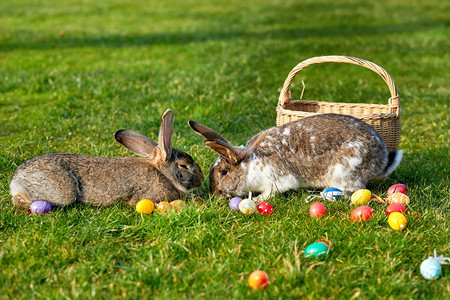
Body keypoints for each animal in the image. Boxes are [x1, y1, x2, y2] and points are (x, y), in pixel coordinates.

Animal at [188, 113, 402, 200]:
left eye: (224, 173)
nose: (214, 194)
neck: (249, 163)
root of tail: (381, 160)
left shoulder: (278, 179)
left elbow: (272, 191)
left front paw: (257, 200)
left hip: (344, 172)